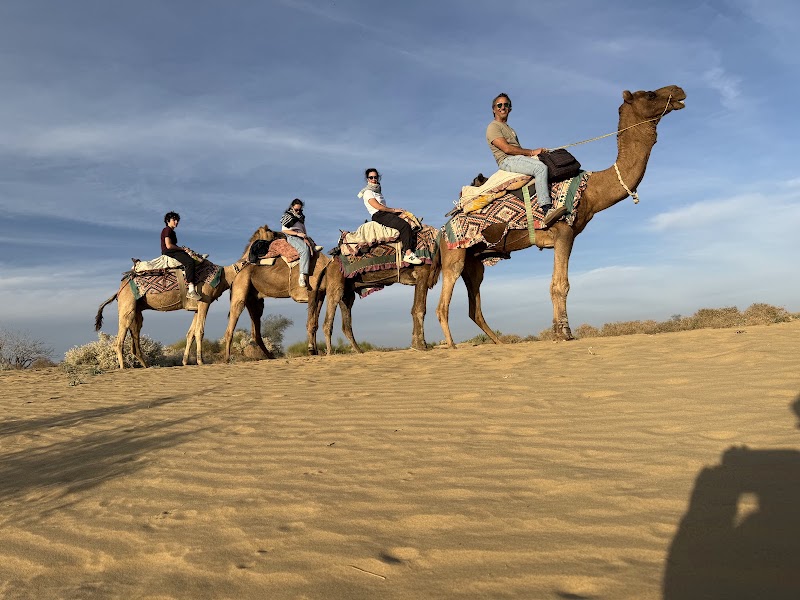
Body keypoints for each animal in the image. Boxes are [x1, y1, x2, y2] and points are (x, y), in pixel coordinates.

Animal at [95, 226, 280, 369]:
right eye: (270, 231)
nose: (281, 234)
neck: (224, 276)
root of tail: (120, 289)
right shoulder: (205, 302)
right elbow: (200, 331)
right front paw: (201, 361)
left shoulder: (197, 306)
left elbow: (190, 333)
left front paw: (185, 362)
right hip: (127, 306)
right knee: (119, 339)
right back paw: (123, 367)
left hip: (136, 310)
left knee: (135, 335)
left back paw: (146, 366)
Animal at [222, 225, 332, 362]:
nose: (283, 234)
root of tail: (237, 273)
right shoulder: (312, 290)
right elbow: (311, 323)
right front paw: (311, 350)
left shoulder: (320, 294)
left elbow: (315, 323)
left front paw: (315, 350)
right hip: (240, 292)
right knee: (231, 325)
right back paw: (227, 359)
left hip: (255, 301)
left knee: (255, 331)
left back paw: (271, 356)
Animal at [435, 85, 686, 346]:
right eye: (650, 94)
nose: (679, 90)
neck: (591, 190)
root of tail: (441, 231)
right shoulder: (564, 232)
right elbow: (561, 285)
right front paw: (565, 333)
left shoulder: (563, 237)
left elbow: (555, 284)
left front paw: (557, 331)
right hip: (455, 254)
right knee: (443, 304)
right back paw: (451, 345)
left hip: (475, 262)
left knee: (474, 307)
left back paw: (500, 343)